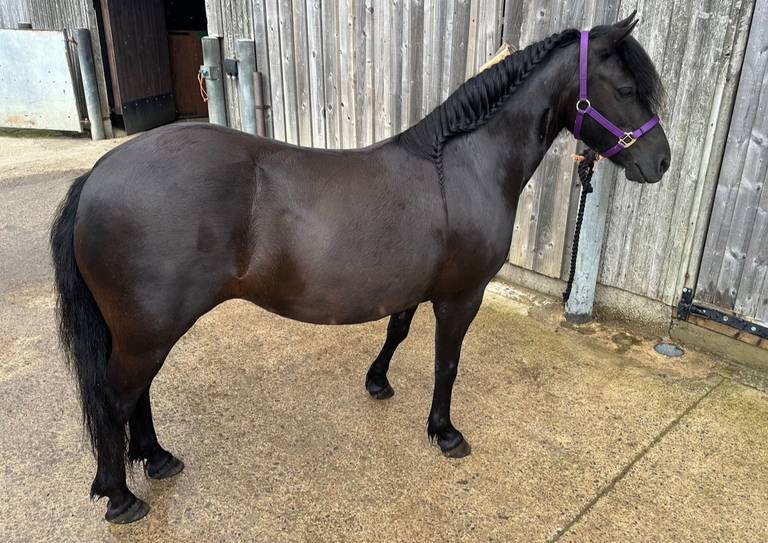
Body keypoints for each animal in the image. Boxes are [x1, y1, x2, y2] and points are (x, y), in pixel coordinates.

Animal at [51, 13, 670, 523]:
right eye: (628, 89)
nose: (660, 162)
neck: (459, 166)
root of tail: (98, 174)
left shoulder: (412, 287)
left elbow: (396, 331)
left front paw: (378, 382)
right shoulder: (461, 296)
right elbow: (447, 364)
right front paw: (444, 432)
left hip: (143, 330)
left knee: (136, 394)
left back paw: (156, 460)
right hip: (148, 329)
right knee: (117, 397)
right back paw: (120, 496)